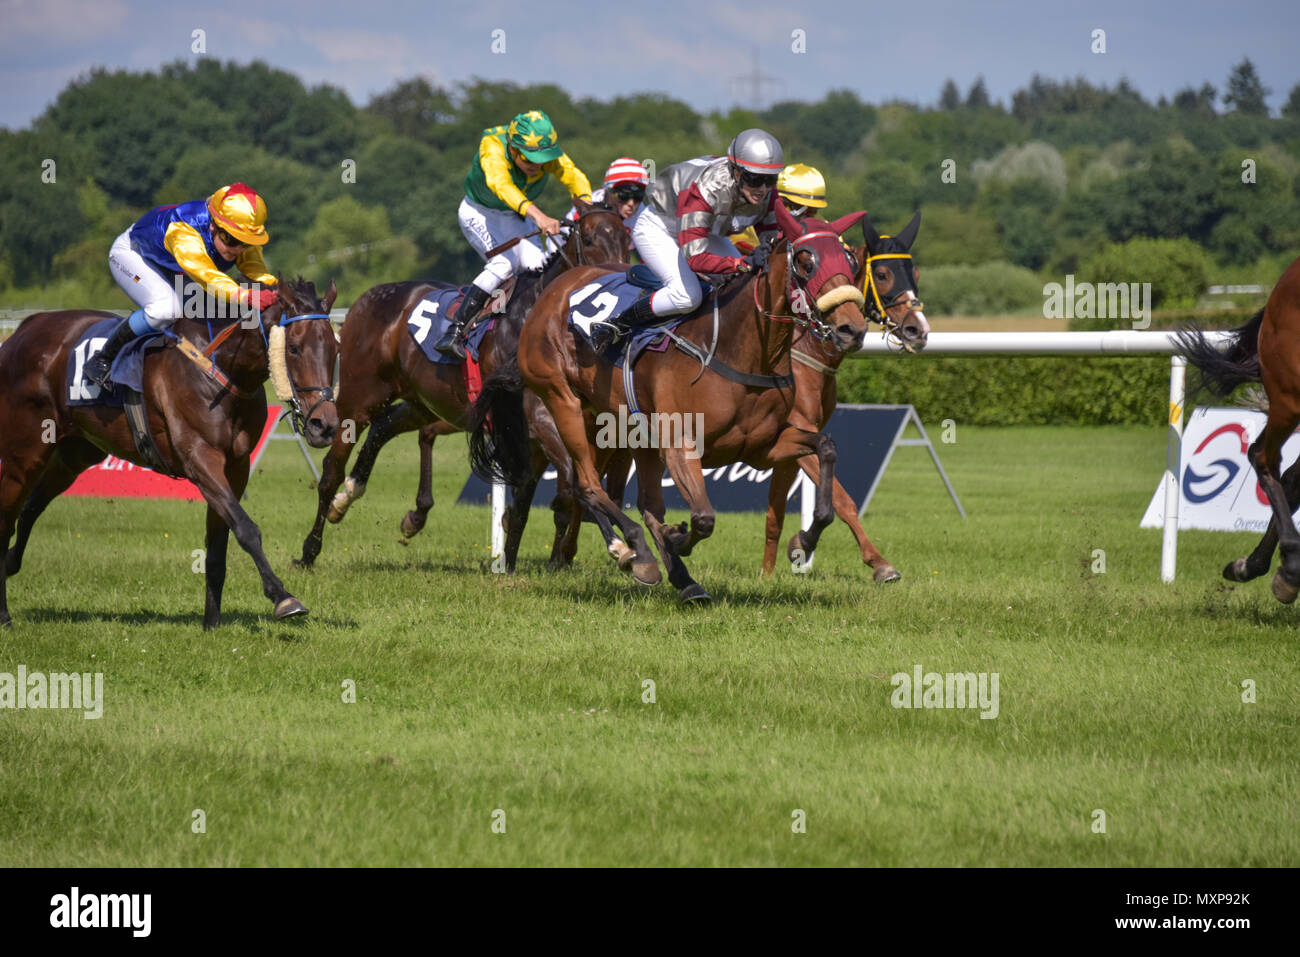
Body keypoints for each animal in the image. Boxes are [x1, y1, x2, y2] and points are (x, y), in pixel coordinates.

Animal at [0, 278, 340, 629]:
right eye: (294, 348)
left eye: (335, 349)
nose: (324, 425)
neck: (220, 368)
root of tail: (24, 329)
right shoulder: (200, 459)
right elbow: (246, 529)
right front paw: (282, 596)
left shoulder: (235, 467)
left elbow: (218, 544)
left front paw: (212, 624)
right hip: (24, 452)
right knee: (6, 517)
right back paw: (4, 615)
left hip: (75, 453)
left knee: (31, 507)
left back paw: (12, 564)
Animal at [299, 202, 634, 572]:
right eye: (588, 240)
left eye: (627, 238)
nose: (619, 278)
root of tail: (366, 297)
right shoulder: (539, 418)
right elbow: (573, 480)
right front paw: (620, 546)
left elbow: (539, 495)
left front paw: (514, 563)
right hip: (359, 399)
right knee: (332, 468)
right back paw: (311, 547)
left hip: (424, 401)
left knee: (386, 427)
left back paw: (354, 497)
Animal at [467, 198, 883, 598]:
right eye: (806, 261)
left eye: (848, 260)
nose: (852, 329)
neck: (741, 348)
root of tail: (550, 294)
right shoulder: (681, 445)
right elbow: (703, 519)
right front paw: (677, 538)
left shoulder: (764, 446)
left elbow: (826, 450)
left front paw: (803, 543)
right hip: (562, 401)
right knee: (585, 484)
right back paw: (633, 552)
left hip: (624, 429)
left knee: (637, 502)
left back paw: (682, 580)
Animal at [759, 214, 930, 579]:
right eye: (883, 275)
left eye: (917, 274)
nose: (918, 330)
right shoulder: (796, 432)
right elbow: (842, 499)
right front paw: (878, 562)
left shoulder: (787, 442)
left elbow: (774, 515)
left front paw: (768, 574)